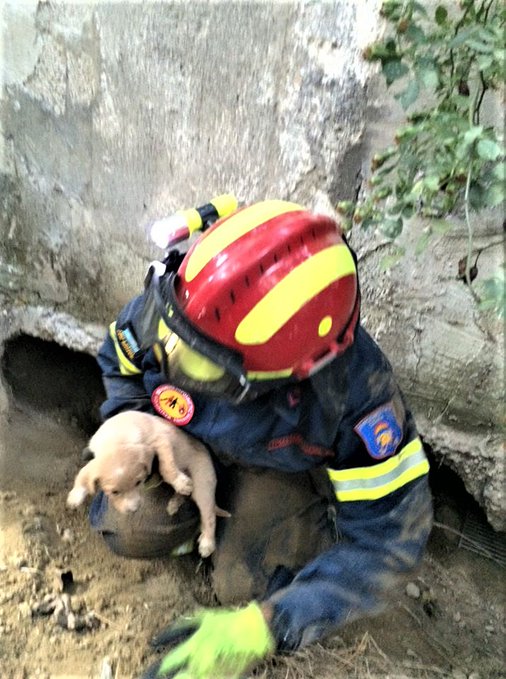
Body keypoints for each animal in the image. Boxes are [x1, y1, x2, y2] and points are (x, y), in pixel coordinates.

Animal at [66, 410, 227, 556]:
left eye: (139, 482)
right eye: (114, 492)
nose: (133, 509)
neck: (117, 438)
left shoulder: (161, 441)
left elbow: (166, 466)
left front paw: (179, 481)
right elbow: (83, 474)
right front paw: (75, 497)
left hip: (203, 483)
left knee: (209, 515)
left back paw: (207, 544)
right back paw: (174, 504)